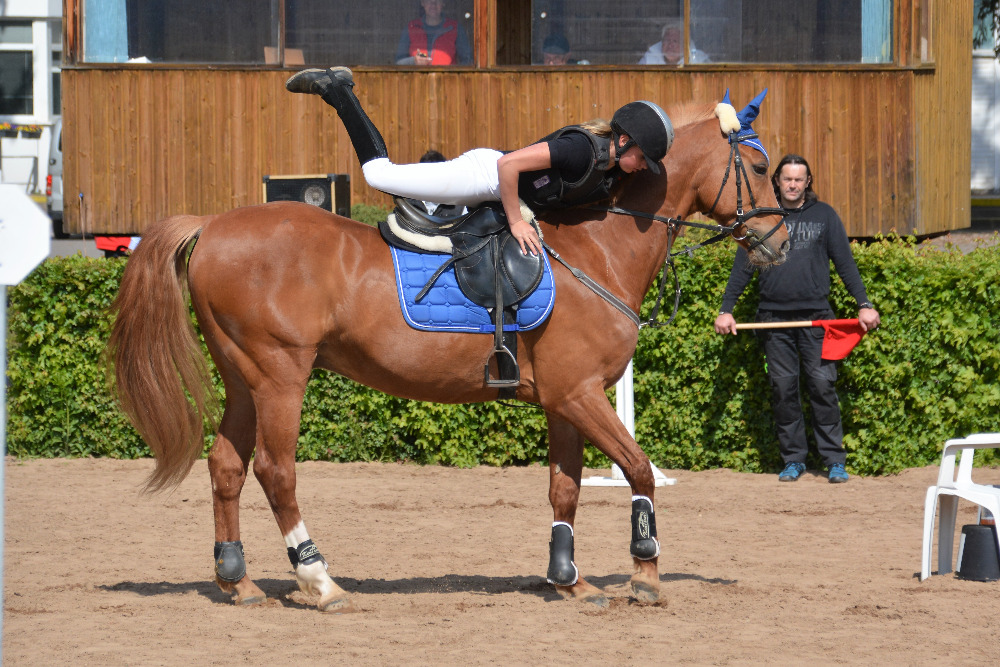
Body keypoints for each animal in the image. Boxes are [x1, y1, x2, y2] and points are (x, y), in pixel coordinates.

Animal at [107, 100, 788, 616]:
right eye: (759, 165)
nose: (780, 243)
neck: (600, 246)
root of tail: (213, 224)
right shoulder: (581, 394)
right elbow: (640, 471)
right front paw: (644, 576)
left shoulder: (565, 400)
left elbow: (564, 489)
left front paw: (569, 579)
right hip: (280, 376)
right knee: (276, 471)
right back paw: (321, 582)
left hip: (243, 378)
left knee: (226, 465)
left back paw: (238, 581)